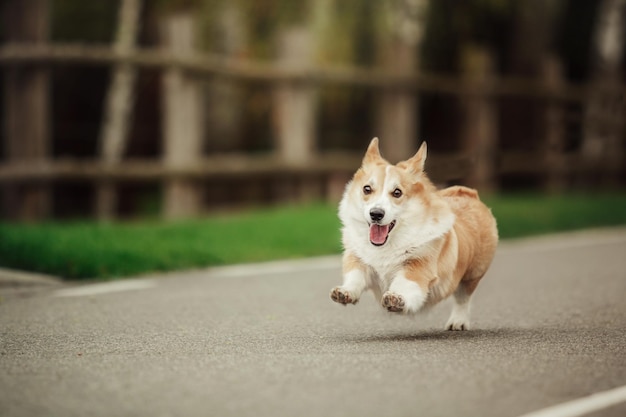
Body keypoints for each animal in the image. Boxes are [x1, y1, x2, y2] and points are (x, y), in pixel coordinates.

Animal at [330, 138, 494, 330]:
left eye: (397, 192)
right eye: (367, 189)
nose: (376, 214)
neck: (386, 245)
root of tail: (469, 193)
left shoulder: (418, 266)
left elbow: (405, 283)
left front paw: (396, 298)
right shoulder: (358, 259)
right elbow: (354, 276)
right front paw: (344, 292)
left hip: (473, 274)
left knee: (463, 297)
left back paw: (458, 322)